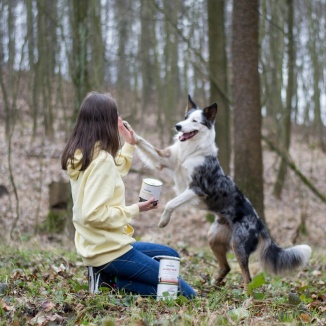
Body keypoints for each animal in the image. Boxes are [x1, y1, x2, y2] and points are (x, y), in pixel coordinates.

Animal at [131, 93, 312, 288]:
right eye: (185, 117)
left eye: (195, 121)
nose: (178, 126)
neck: (191, 151)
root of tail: (259, 222)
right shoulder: (165, 160)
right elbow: (145, 144)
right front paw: (128, 130)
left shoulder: (197, 188)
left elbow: (171, 203)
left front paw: (163, 221)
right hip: (214, 238)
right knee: (226, 267)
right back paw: (212, 284)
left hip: (239, 246)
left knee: (247, 278)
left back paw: (245, 295)